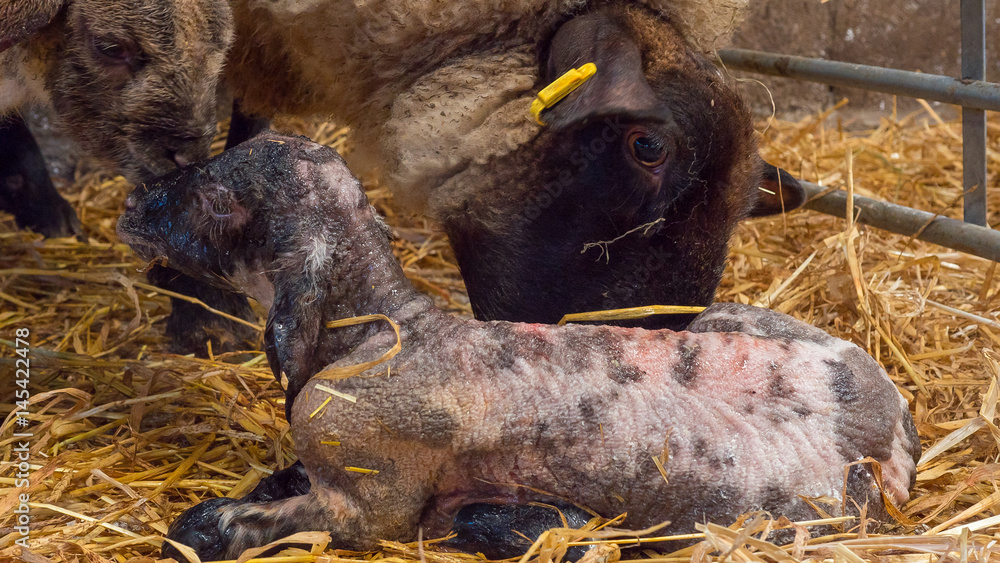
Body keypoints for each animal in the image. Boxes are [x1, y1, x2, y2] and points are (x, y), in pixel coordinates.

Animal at [116, 134, 918, 561]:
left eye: (220, 200)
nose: (133, 205)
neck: (388, 329)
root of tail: (893, 421)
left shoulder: (369, 506)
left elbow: (229, 523)